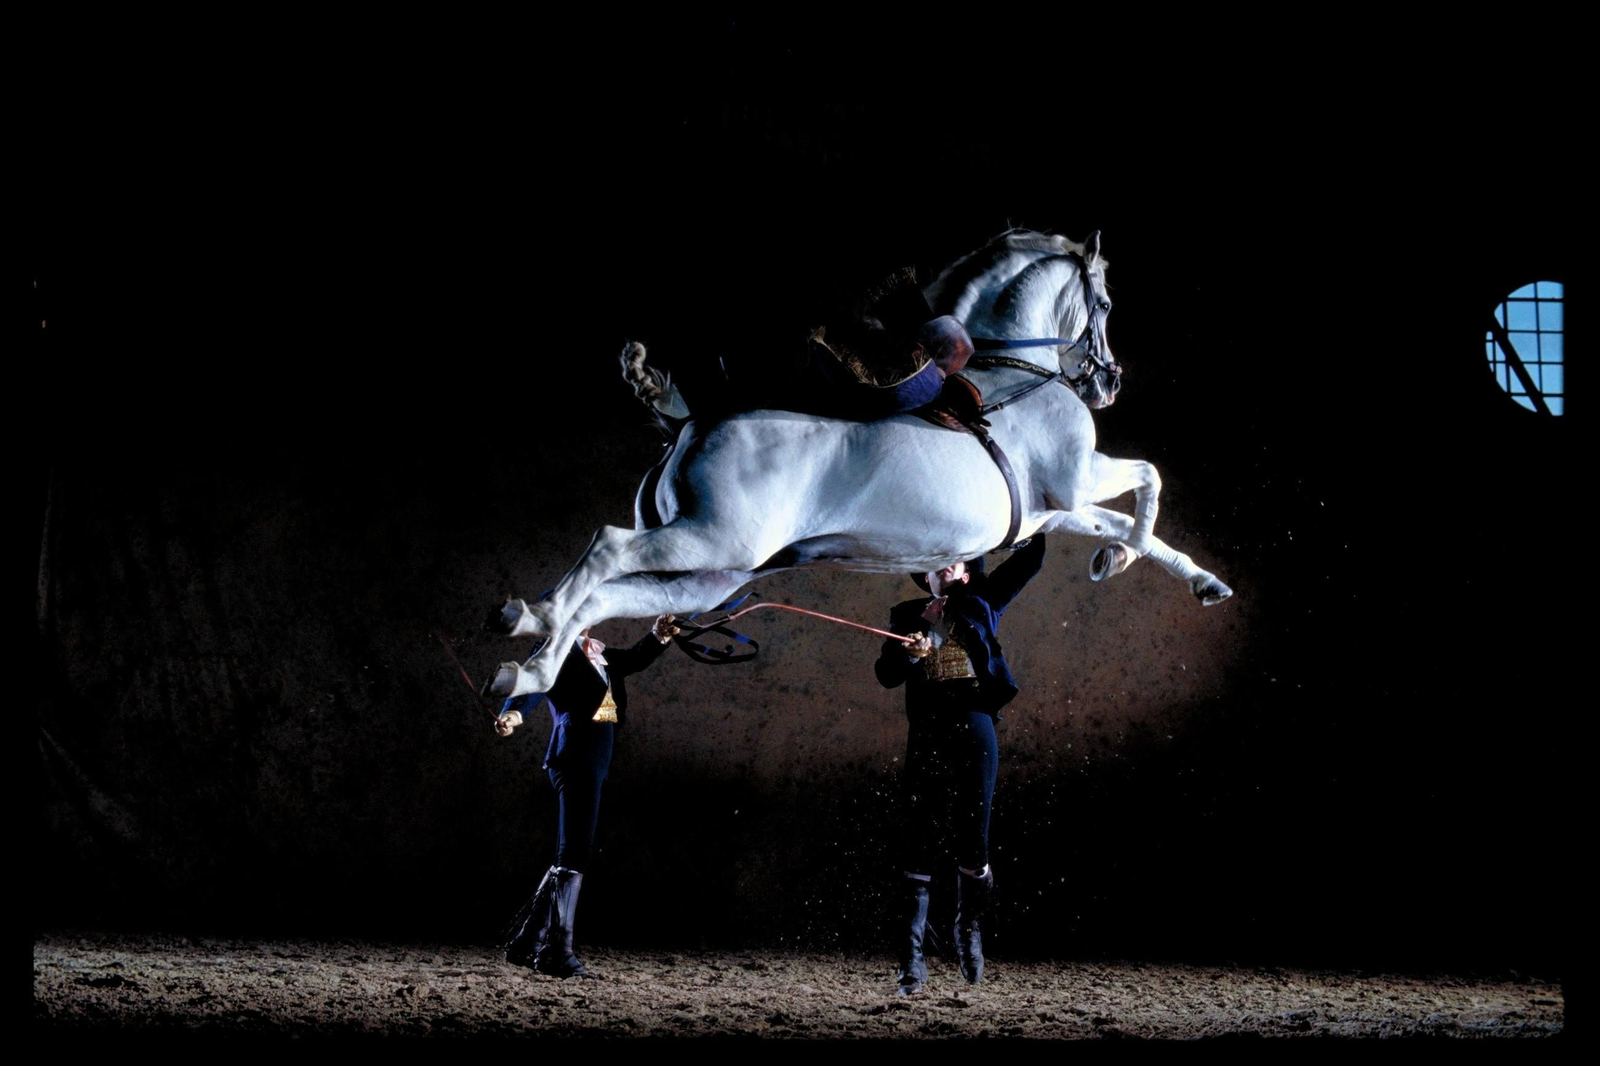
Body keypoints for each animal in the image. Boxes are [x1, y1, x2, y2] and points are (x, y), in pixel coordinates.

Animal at [483, 229, 1232, 698]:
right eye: (1103, 302)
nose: (1109, 382)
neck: (1013, 371)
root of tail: (688, 422)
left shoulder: (1050, 511)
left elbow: (1126, 521)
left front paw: (1187, 577)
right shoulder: (1079, 479)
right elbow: (1149, 479)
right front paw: (1120, 559)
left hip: (709, 577)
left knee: (607, 597)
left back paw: (526, 669)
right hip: (711, 540)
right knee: (606, 550)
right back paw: (531, 618)